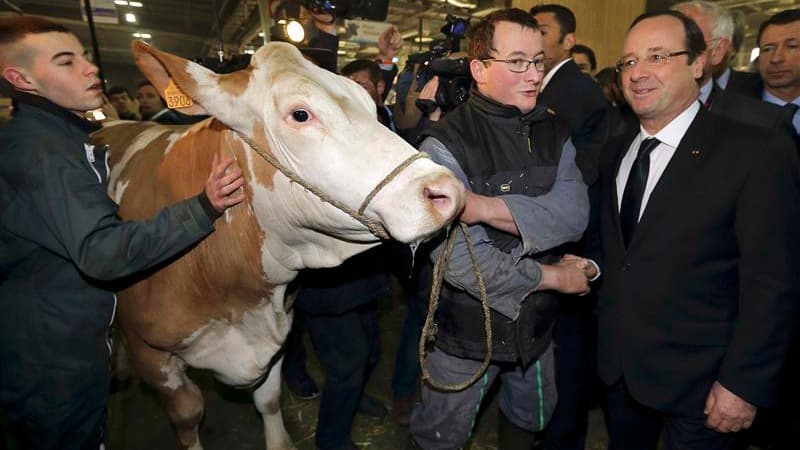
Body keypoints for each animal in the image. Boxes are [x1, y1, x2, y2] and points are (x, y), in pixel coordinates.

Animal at [92, 39, 468, 450]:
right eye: (300, 114)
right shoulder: (153, 354)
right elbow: (188, 416)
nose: (446, 190)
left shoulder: (276, 336)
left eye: (370, 106)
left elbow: (269, 400)